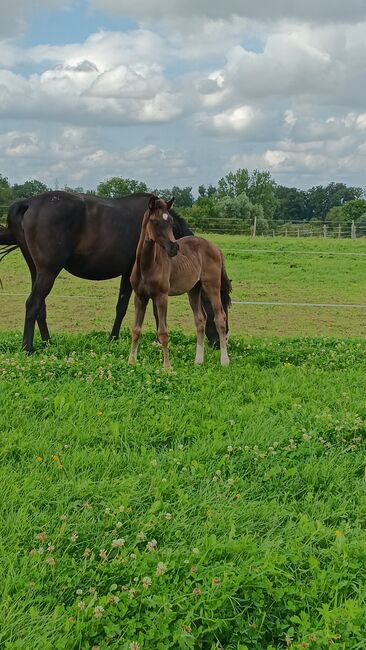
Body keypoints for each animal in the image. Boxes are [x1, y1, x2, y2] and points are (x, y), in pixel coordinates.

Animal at [129, 195, 232, 368]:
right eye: (154, 221)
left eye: (171, 221)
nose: (174, 248)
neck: (147, 265)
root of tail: (216, 249)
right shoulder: (140, 296)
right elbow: (136, 329)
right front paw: (131, 361)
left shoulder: (161, 297)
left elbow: (163, 332)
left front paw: (167, 367)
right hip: (194, 290)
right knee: (200, 320)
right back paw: (198, 360)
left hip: (212, 286)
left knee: (219, 318)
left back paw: (224, 360)